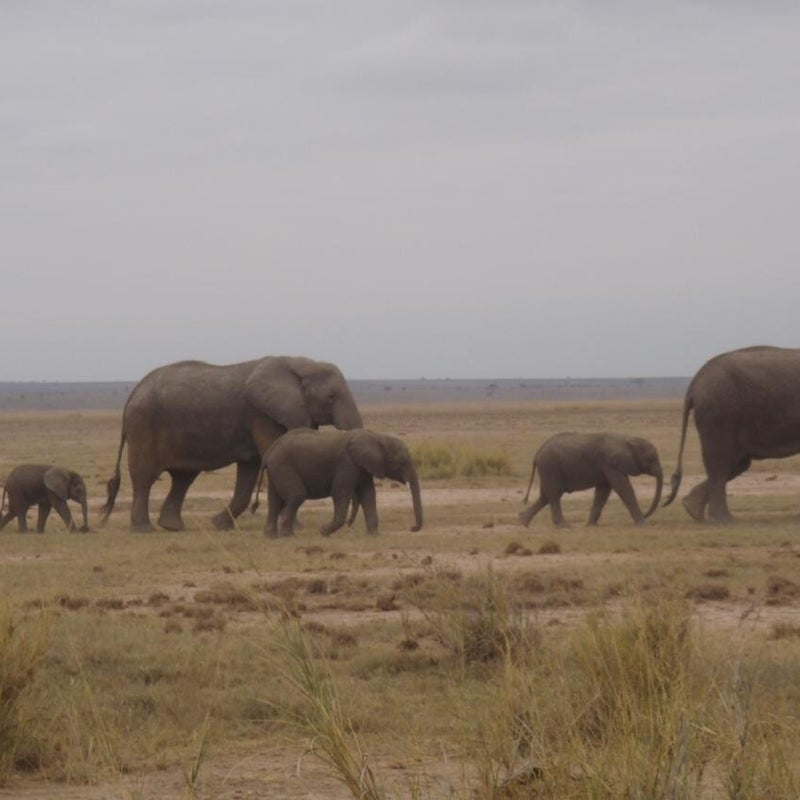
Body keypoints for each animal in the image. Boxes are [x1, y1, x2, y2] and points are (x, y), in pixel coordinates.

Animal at [100, 356, 363, 532]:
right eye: (331, 397)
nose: (351, 525)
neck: (300, 363)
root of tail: (132, 393)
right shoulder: (262, 415)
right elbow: (269, 456)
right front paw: (295, 526)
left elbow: (249, 471)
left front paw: (219, 525)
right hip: (144, 424)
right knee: (144, 478)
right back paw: (144, 529)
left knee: (183, 478)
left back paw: (173, 527)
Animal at [251, 428, 423, 537]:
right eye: (400, 462)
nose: (412, 528)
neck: (376, 436)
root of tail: (269, 452)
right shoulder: (347, 465)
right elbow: (341, 493)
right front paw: (323, 531)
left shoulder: (363, 467)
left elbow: (368, 495)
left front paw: (374, 535)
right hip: (284, 466)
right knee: (296, 495)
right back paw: (289, 536)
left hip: (276, 469)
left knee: (274, 501)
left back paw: (271, 536)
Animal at [518, 432, 663, 528]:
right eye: (651, 459)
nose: (646, 514)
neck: (627, 440)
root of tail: (537, 453)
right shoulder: (611, 464)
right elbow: (623, 488)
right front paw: (643, 525)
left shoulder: (607, 467)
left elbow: (602, 492)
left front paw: (591, 525)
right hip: (550, 467)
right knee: (553, 495)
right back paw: (564, 526)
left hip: (548, 470)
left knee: (546, 496)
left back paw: (523, 522)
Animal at [663, 345, 800, 523]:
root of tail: (694, 385)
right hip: (720, 413)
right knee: (721, 463)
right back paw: (723, 521)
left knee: (735, 464)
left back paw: (692, 509)